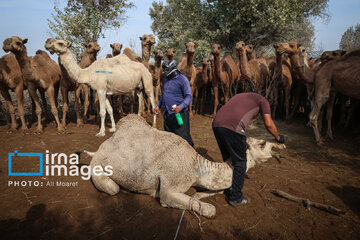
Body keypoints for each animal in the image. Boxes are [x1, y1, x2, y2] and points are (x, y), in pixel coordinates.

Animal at [80, 114, 286, 218]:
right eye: (262, 144)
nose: (280, 145)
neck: (196, 166)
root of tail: (97, 150)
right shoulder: (170, 186)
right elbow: (210, 210)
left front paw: (198, 194)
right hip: (98, 167)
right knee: (112, 188)